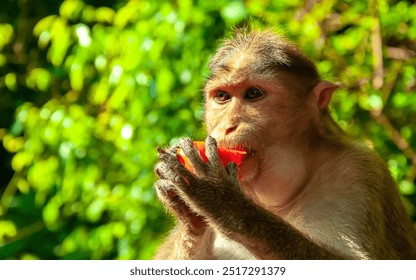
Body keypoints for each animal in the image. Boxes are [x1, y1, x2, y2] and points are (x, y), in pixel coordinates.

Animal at [153, 27, 416, 260]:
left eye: (253, 94)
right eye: (222, 97)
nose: (227, 125)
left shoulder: (359, 174)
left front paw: (223, 201)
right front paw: (187, 217)